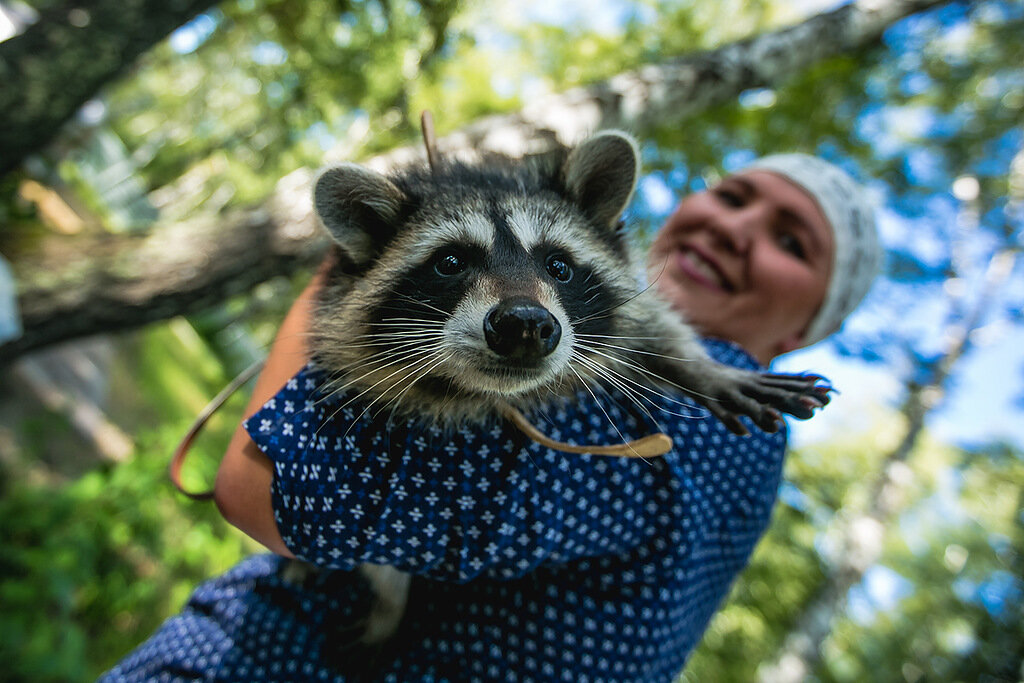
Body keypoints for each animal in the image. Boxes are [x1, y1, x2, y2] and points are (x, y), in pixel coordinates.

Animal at [299, 129, 827, 655]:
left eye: (558, 265)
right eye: (450, 262)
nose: (524, 324)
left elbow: (655, 324)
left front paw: (708, 370)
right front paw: (389, 601)